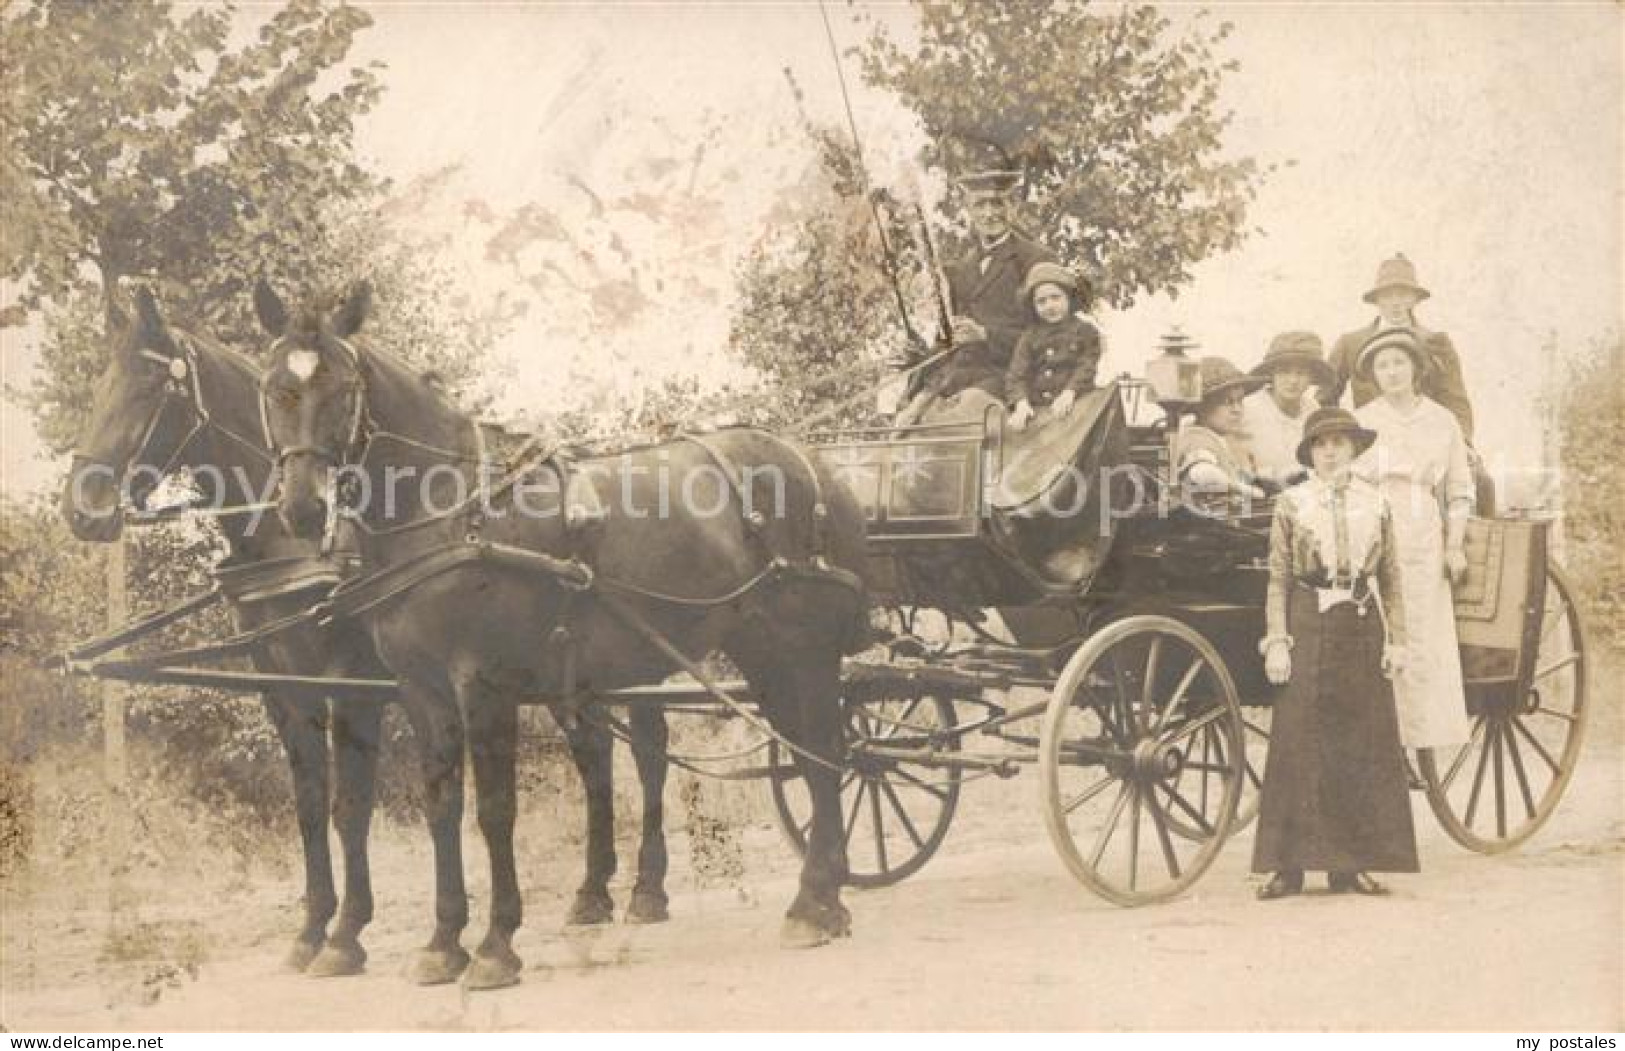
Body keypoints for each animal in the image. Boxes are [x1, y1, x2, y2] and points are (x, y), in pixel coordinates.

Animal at [57, 287, 386, 981]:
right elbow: (309, 803)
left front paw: (347, 935)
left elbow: (350, 805)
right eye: (101, 383)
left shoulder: (352, 684)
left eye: (149, 385)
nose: (80, 510)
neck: (290, 537)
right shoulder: (281, 687)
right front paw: (312, 929)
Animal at [251, 279, 864, 987]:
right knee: (808, 752)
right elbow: (442, 807)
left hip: (802, 648)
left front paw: (495, 945)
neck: (450, 509)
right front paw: (443, 943)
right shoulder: (420, 689)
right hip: (761, 651)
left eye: (343, 387)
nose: (302, 507)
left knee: (822, 753)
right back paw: (825, 896)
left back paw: (815, 902)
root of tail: (809, 460)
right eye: (273, 386)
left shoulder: (483, 684)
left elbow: (495, 811)